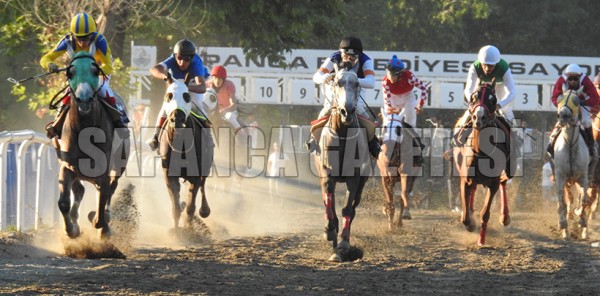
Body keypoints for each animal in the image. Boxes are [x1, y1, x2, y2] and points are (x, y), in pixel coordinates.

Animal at [54, 51, 130, 238]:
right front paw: (72, 230)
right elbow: (64, 203)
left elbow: (102, 203)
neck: (84, 130)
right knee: (80, 190)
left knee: (111, 187)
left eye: (95, 71)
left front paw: (100, 222)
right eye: (70, 73)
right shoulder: (67, 166)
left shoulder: (103, 170)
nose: (84, 100)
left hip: (120, 162)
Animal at [158, 75, 214, 229]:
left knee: (203, 186)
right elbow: (176, 207)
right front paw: (177, 231)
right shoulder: (169, 174)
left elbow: (191, 207)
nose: (177, 117)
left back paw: (204, 210)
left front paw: (189, 230)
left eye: (187, 96)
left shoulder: (196, 175)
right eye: (168, 96)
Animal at [314, 67, 370, 262]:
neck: (342, 135)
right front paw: (329, 230)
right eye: (337, 82)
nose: (348, 111)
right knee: (326, 200)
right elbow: (329, 203)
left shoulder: (354, 177)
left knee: (352, 208)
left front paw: (344, 244)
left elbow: (347, 209)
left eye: (357, 83)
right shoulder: (327, 173)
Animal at [452, 80, 512, 245]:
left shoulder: (493, 183)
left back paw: (505, 217)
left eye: (492, 100)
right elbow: (465, 218)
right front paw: (470, 223)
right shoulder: (465, 180)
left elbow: (485, 214)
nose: (479, 118)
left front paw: (481, 240)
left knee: (504, 181)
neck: (481, 152)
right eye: (473, 97)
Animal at [552, 89, 592, 239]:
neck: (569, 145)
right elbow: (561, 201)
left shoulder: (584, 176)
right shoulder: (560, 175)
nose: (563, 115)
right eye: (559, 99)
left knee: (580, 197)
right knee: (568, 198)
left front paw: (581, 217)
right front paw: (563, 225)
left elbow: (584, 199)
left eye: (576, 100)